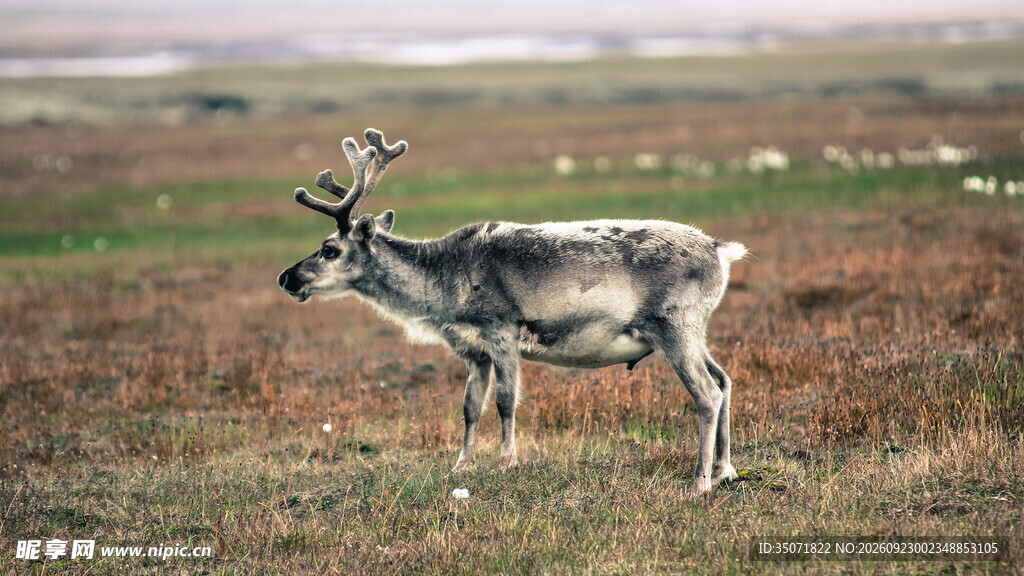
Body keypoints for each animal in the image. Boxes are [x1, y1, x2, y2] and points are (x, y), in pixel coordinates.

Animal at [277, 129, 747, 495]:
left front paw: (507, 461)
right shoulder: (474, 351)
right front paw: (461, 465)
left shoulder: (501, 330)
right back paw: (725, 469)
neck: (442, 283)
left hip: (674, 326)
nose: (286, 277)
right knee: (724, 379)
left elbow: (505, 401)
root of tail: (721, 251)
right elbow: (470, 407)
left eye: (328, 249)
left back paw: (699, 482)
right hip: (693, 330)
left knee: (706, 393)